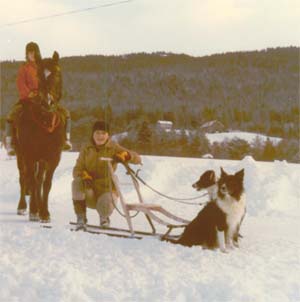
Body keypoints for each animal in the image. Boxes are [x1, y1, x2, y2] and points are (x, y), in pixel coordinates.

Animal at [14, 51, 65, 222]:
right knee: (24, 177)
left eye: (57, 74)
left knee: (38, 178)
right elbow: (32, 180)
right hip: (20, 154)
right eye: (39, 76)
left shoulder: (53, 157)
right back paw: (23, 206)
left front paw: (45, 212)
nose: (47, 103)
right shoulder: (29, 156)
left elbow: (46, 183)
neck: (45, 122)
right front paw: (34, 211)